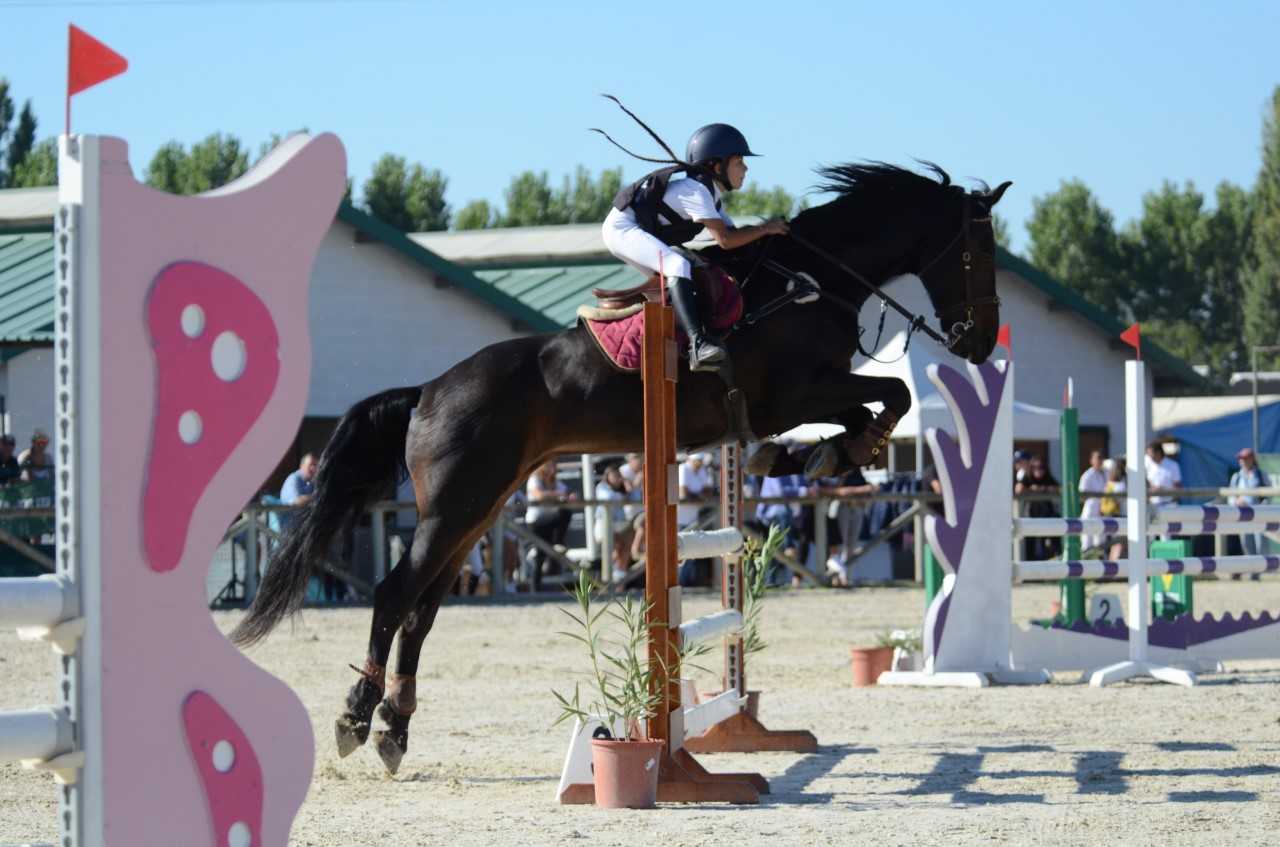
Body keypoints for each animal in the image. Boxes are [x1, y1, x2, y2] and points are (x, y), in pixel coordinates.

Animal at [230, 161, 1008, 777]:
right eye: (977, 253)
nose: (975, 342)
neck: (814, 282)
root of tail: (427, 390)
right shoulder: (794, 393)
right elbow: (893, 391)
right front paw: (828, 451)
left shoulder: (807, 394)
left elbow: (879, 401)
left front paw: (817, 453)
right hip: (452, 510)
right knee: (395, 596)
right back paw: (357, 718)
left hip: (477, 510)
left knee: (421, 612)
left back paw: (395, 727)